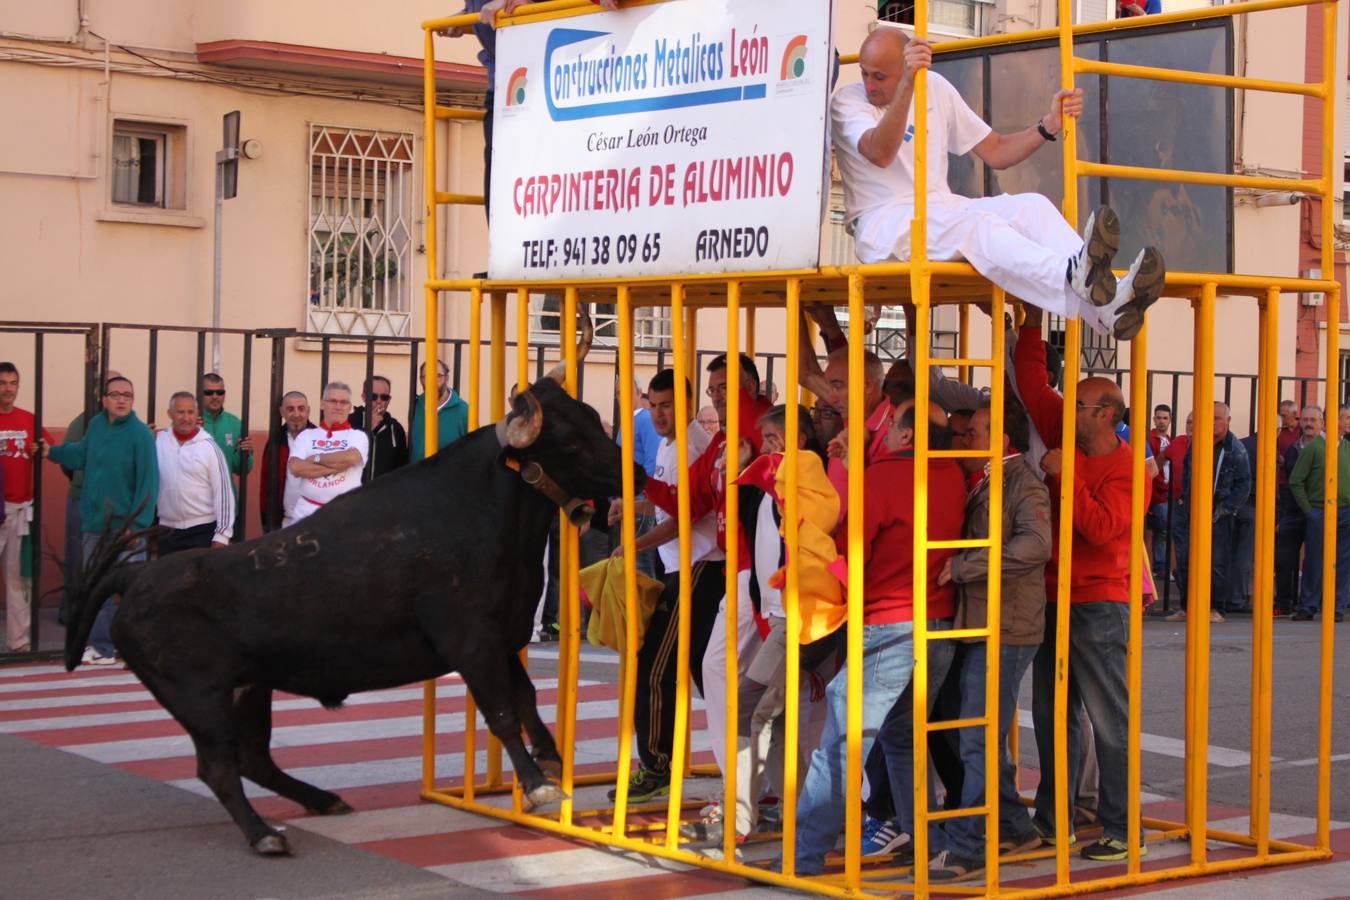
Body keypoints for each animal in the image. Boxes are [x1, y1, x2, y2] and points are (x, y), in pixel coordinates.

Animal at [65, 380, 645, 858]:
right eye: (568, 442)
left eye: (593, 418)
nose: (636, 473)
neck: (482, 508)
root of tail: (136, 577)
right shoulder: (472, 642)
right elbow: (501, 711)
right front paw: (538, 783)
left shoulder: (504, 637)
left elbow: (525, 698)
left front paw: (551, 757)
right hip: (200, 698)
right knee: (220, 767)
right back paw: (264, 835)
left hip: (250, 689)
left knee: (253, 758)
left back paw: (321, 800)